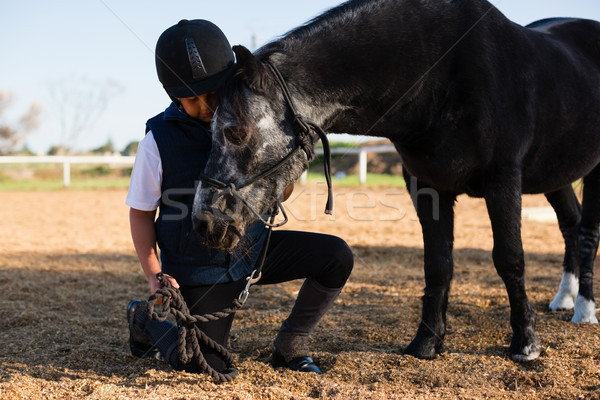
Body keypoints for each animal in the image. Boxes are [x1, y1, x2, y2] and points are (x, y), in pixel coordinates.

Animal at [192, 0, 600, 362]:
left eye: (235, 132)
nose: (204, 222)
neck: (444, 72)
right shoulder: (426, 187)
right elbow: (438, 264)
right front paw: (426, 344)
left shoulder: (503, 181)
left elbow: (510, 258)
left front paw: (525, 344)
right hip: (555, 176)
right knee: (570, 224)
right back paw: (564, 298)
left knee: (586, 232)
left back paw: (584, 309)